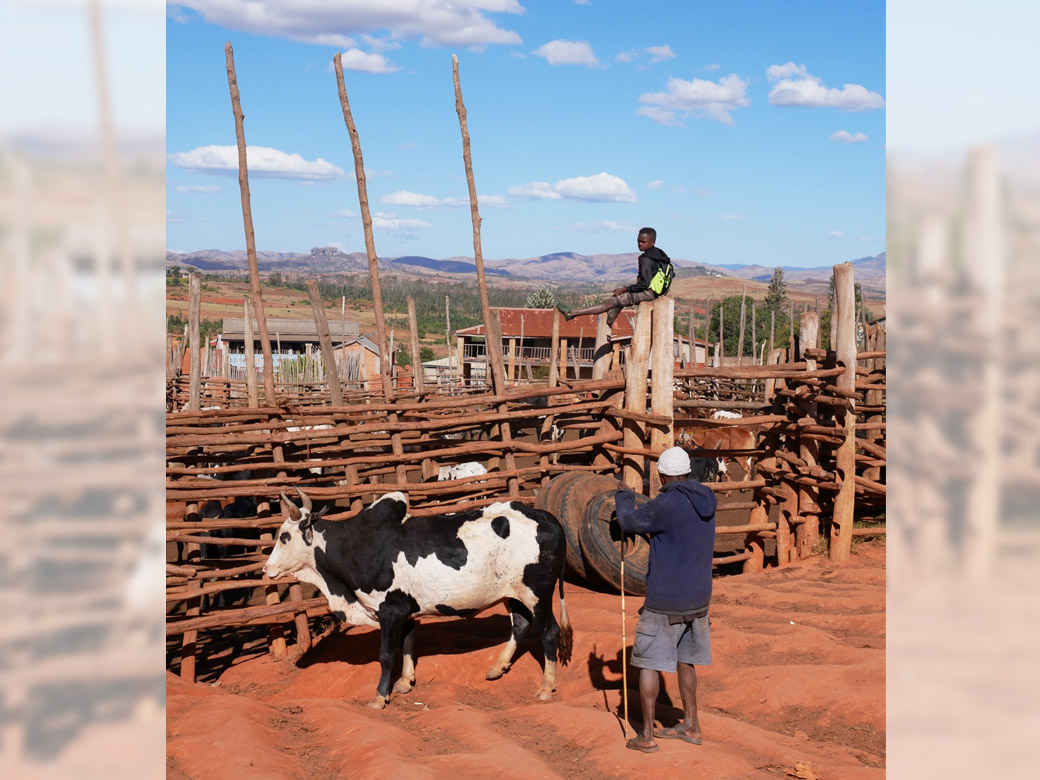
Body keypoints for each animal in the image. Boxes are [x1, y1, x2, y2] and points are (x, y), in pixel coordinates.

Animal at [258, 490, 569, 711]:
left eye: (284, 537)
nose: (266, 569)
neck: (356, 545)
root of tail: (549, 518)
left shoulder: (390, 611)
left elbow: (386, 654)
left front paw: (379, 697)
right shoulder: (405, 610)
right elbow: (408, 643)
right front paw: (405, 682)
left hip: (538, 594)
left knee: (549, 632)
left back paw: (546, 687)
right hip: (513, 594)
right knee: (520, 624)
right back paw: (497, 667)